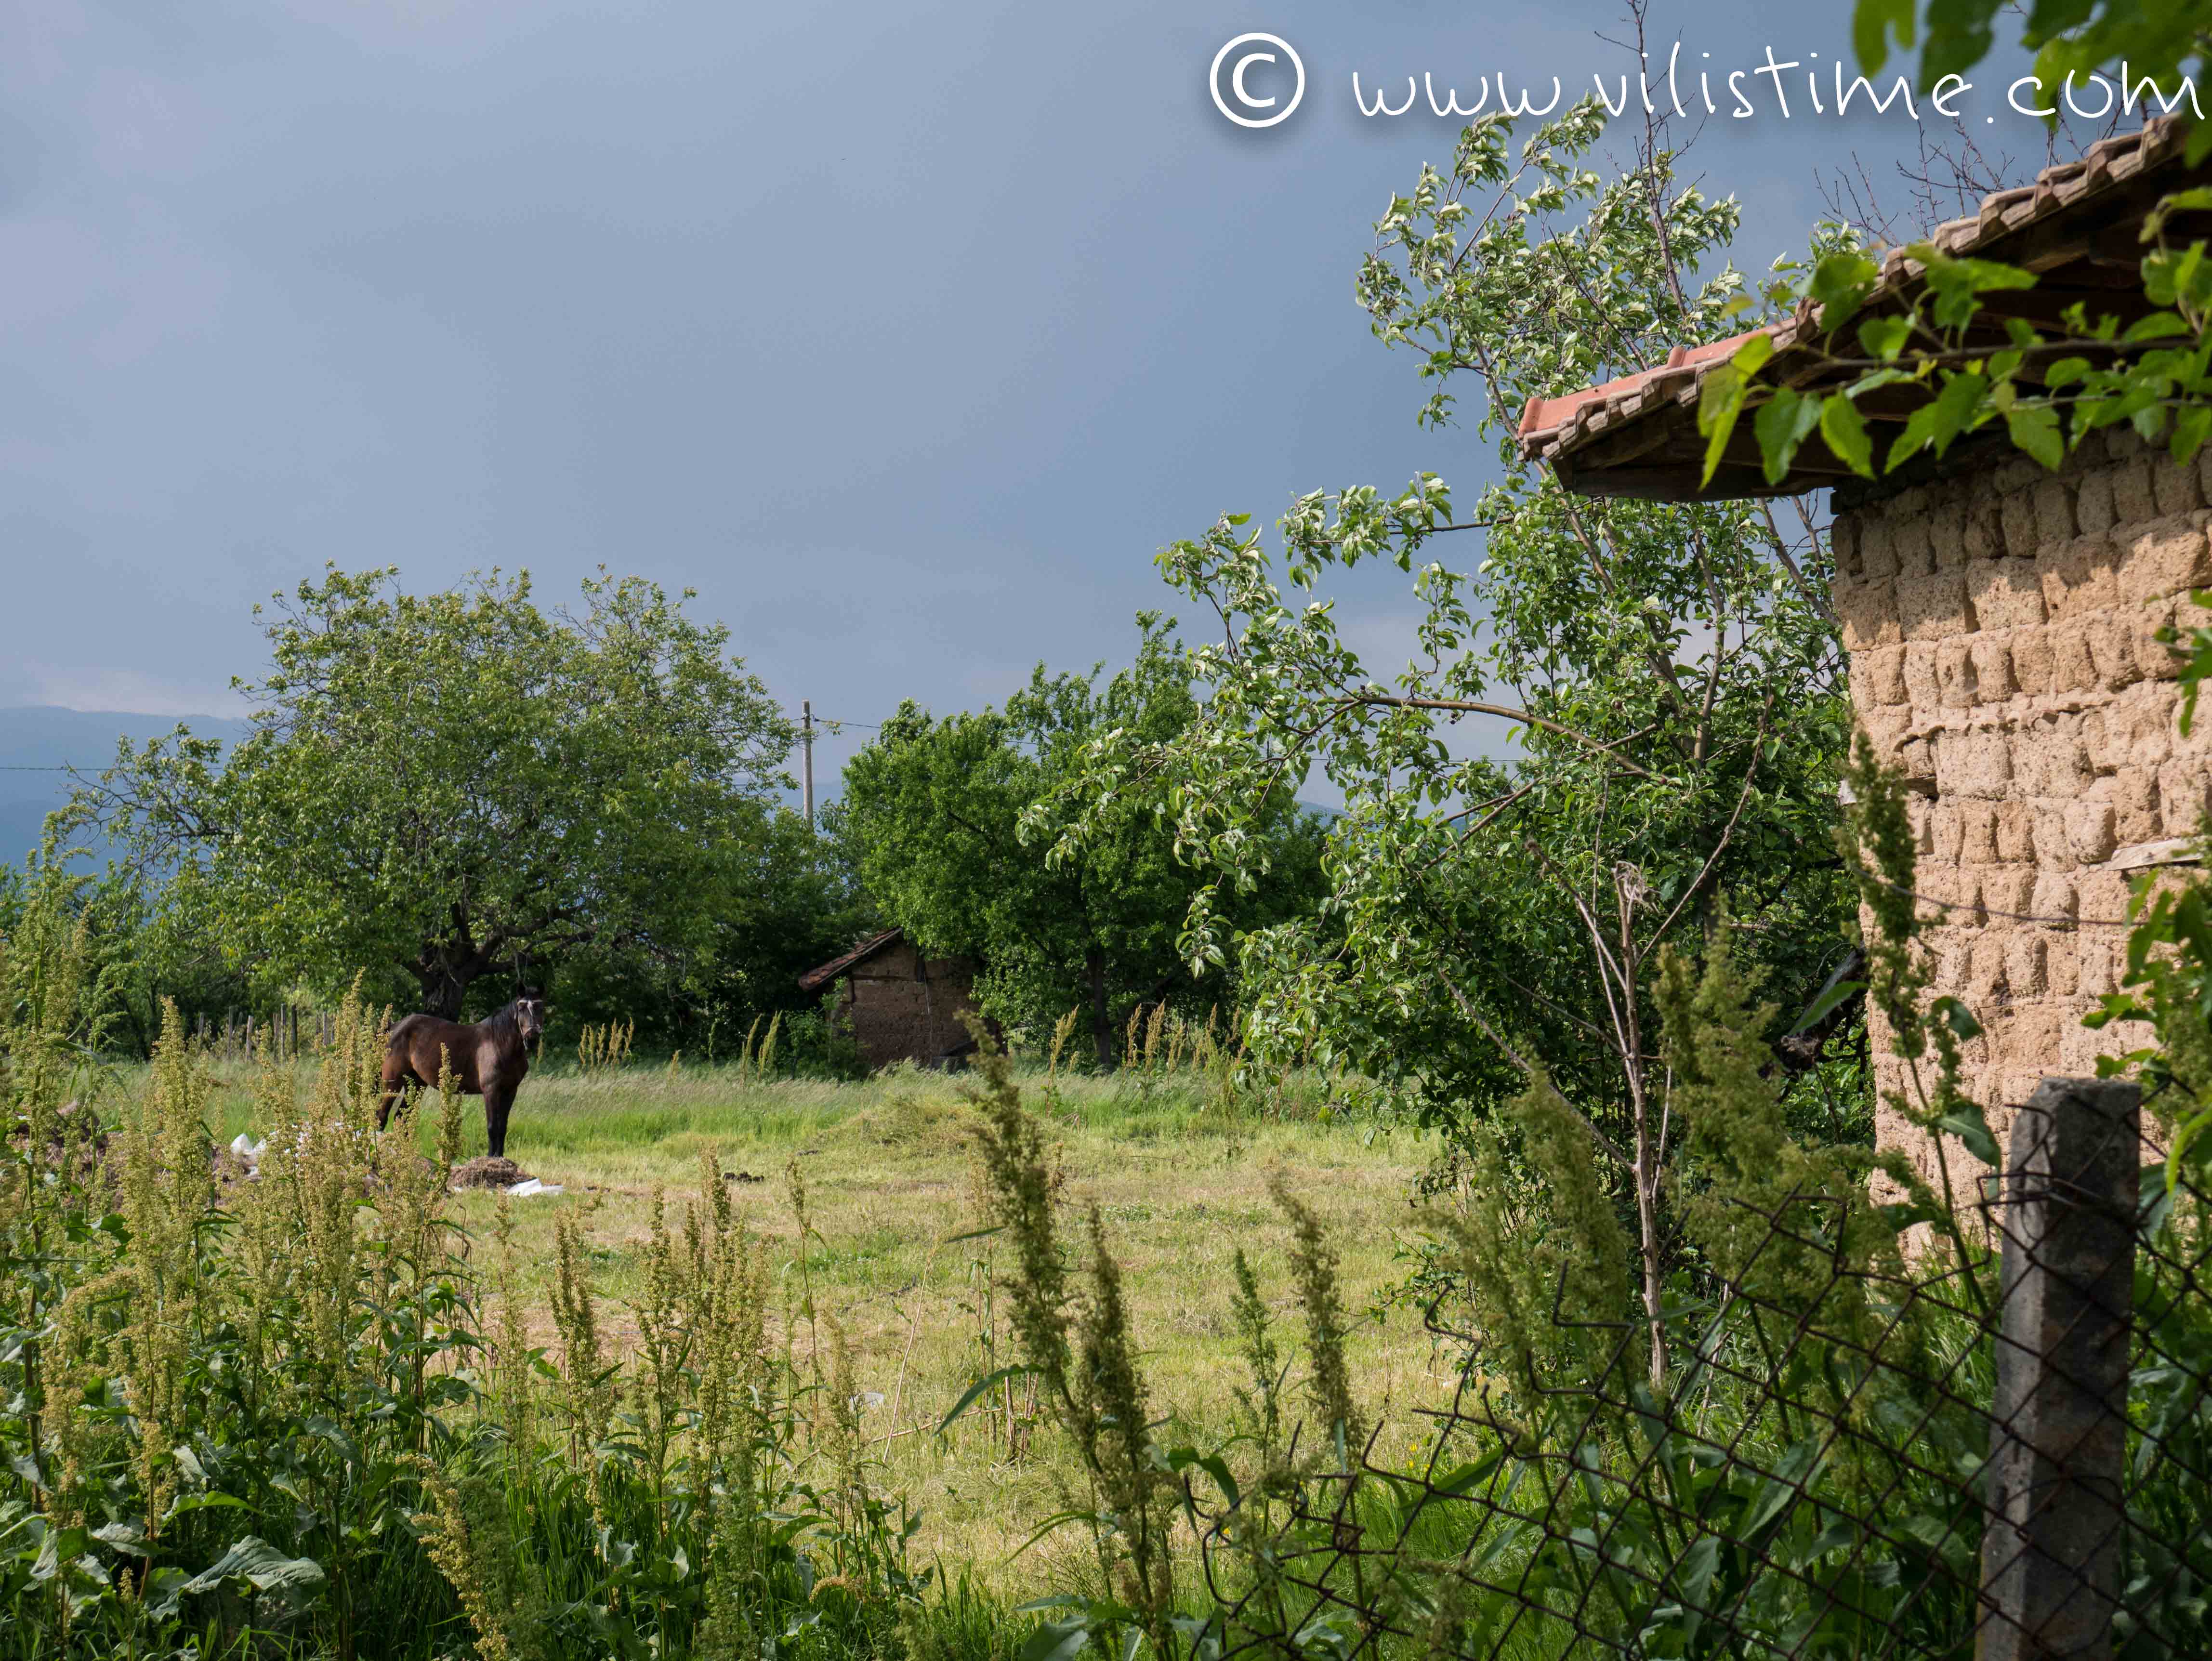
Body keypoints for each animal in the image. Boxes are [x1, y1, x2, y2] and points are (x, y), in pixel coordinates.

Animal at [374, 995, 542, 1159]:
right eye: (521, 1010)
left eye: (539, 1008)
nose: (532, 1038)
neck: (499, 1043)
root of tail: (393, 1028)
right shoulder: (491, 1091)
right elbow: (493, 1126)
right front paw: (490, 1158)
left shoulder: (510, 1091)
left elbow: (502, 1127)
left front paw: (499, 1158)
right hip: (392, 1082)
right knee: (381, 1116)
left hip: (416, 1084)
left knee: (402, 1118)